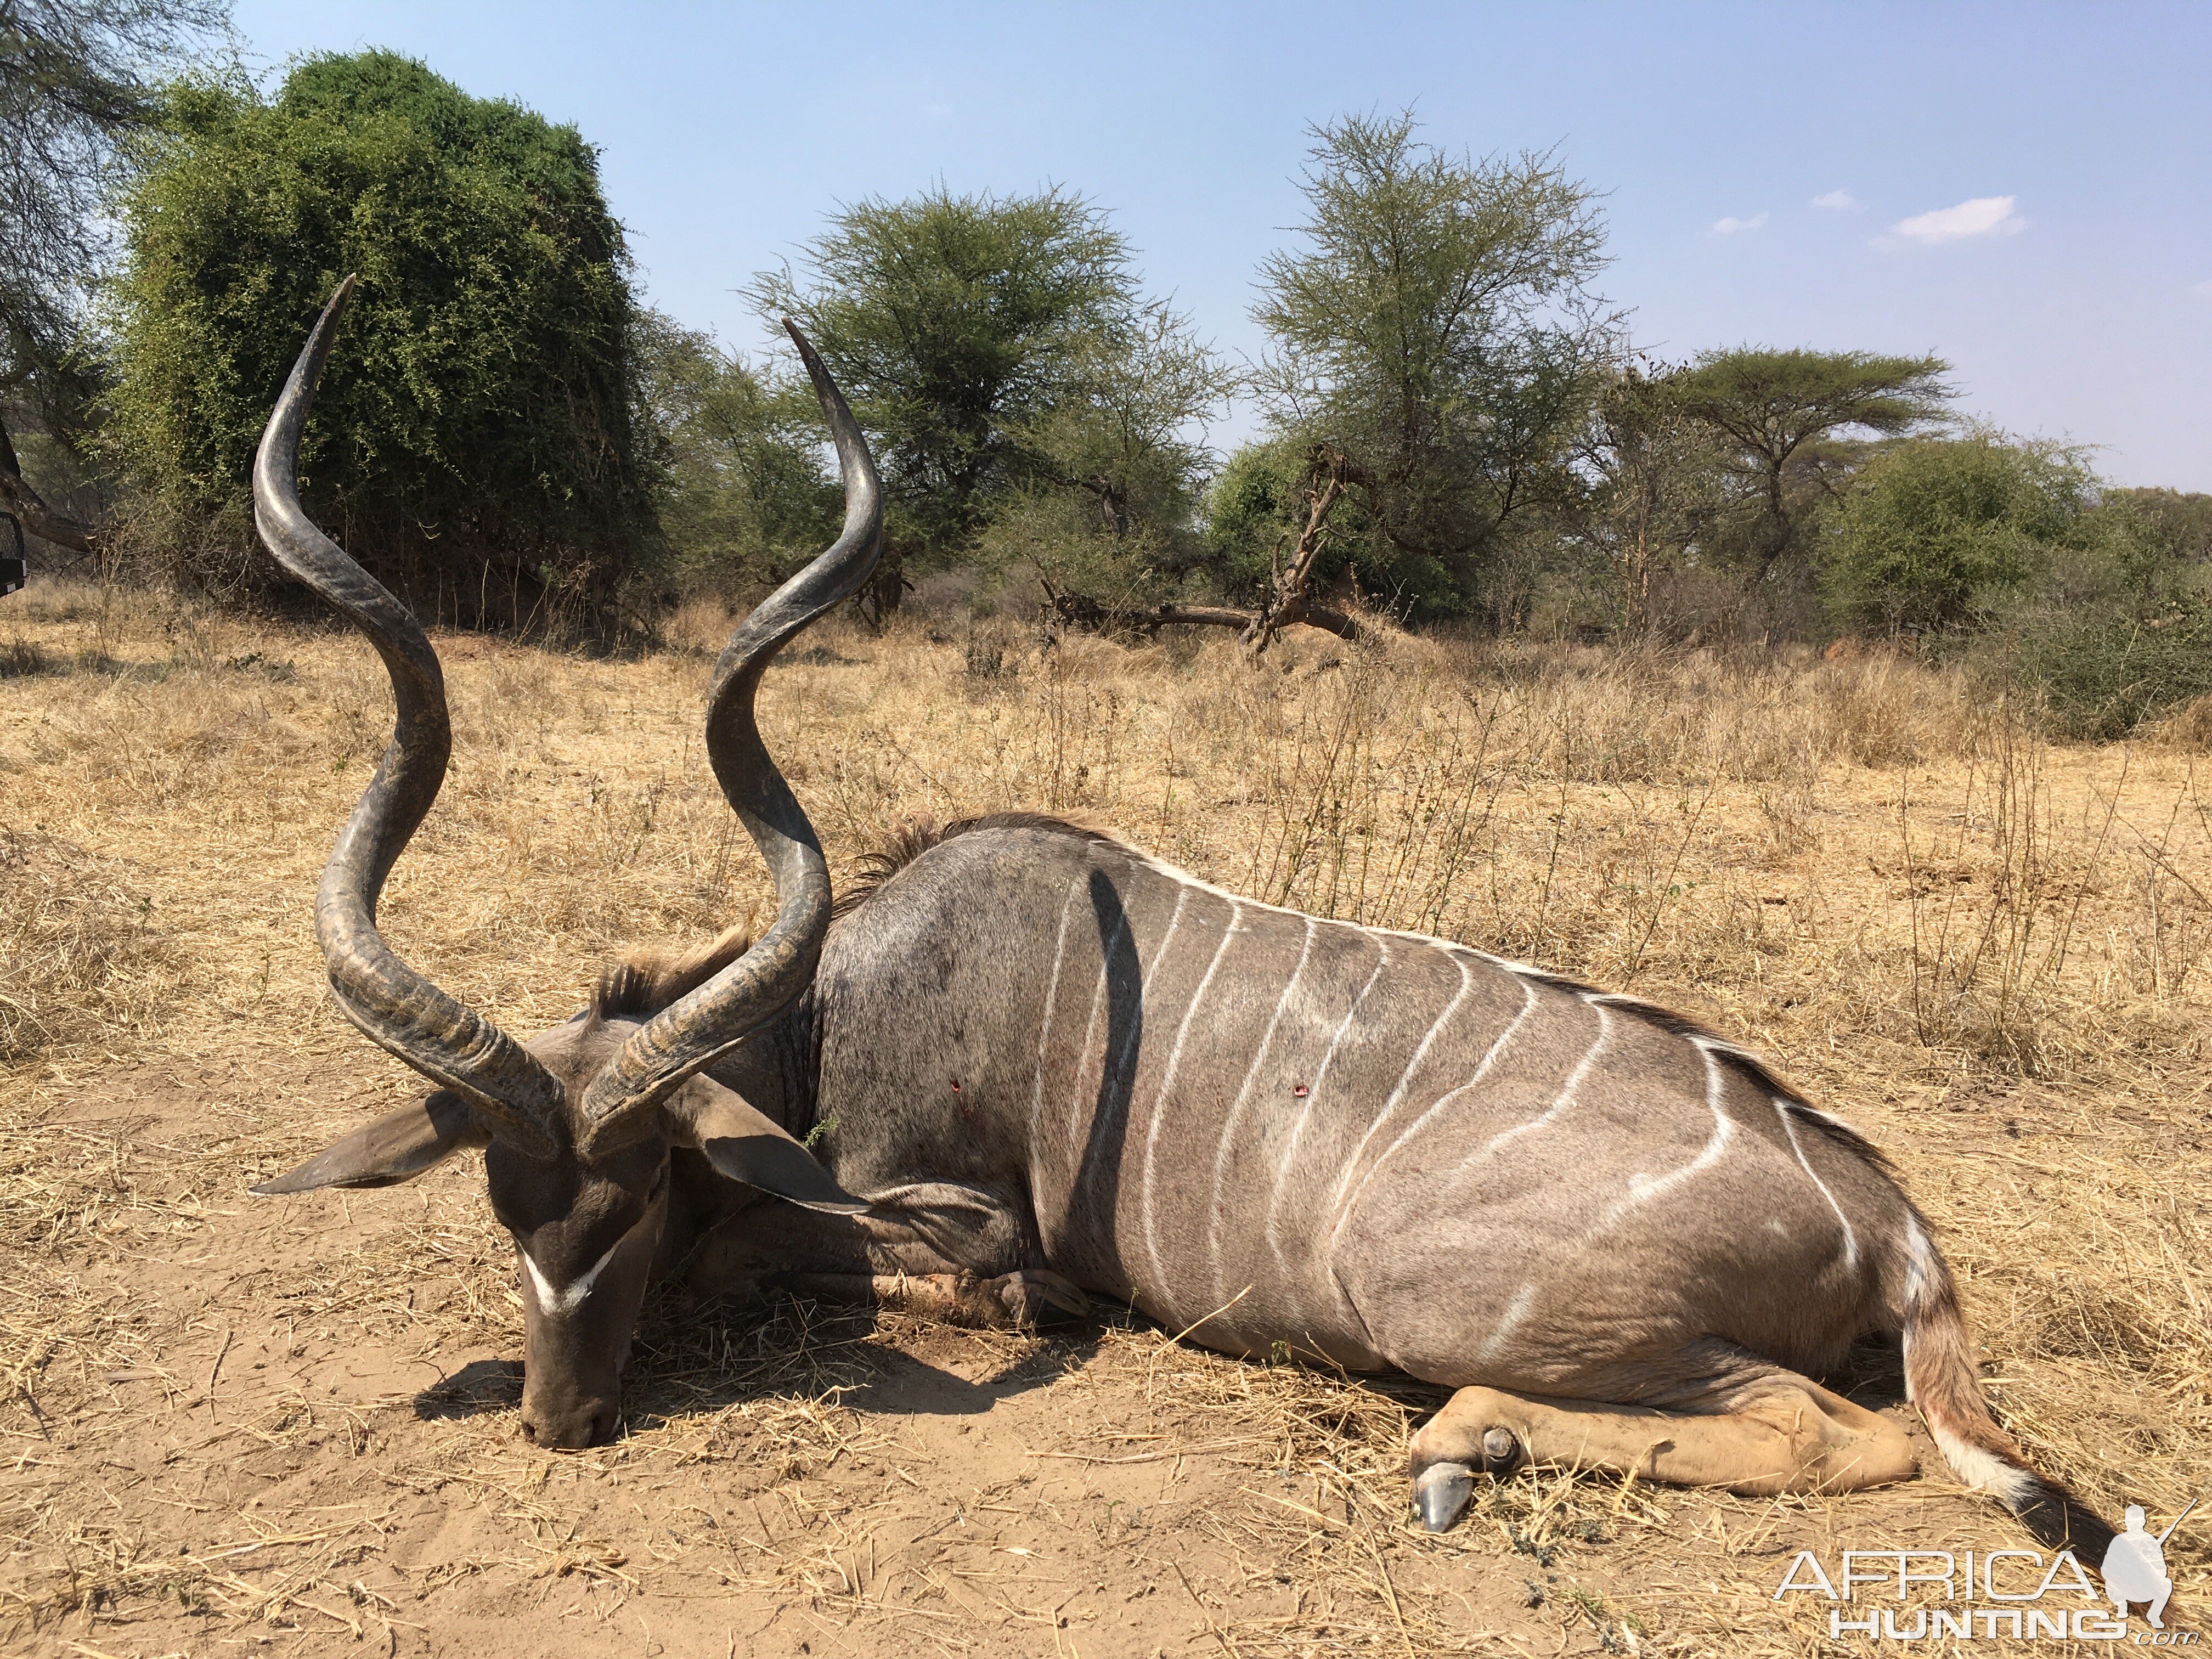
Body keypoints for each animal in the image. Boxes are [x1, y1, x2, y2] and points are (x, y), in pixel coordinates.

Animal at [254, 283, 2106, 1548]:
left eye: (638, 1192)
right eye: (504, 1199)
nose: (560, 1422)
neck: (840, 1003)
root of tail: (1885, 1210)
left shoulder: (957, 1219)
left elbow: (872, 1266)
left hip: (1427, 1289)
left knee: (1843, 1433)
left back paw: (1461, 1446)